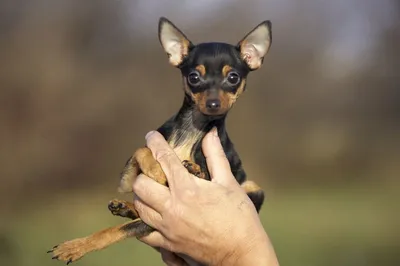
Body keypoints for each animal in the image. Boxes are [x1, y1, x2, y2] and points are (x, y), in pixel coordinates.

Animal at [47, 17, 272, 264]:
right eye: (194, 77)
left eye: (233, 78)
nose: (213, 104)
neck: (191, 130)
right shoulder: (149, 150)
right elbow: (140, 151)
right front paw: (153, 171)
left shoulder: (159, 219)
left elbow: (115, 231)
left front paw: (75, 246)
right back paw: (124, 206)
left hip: (253, 187)